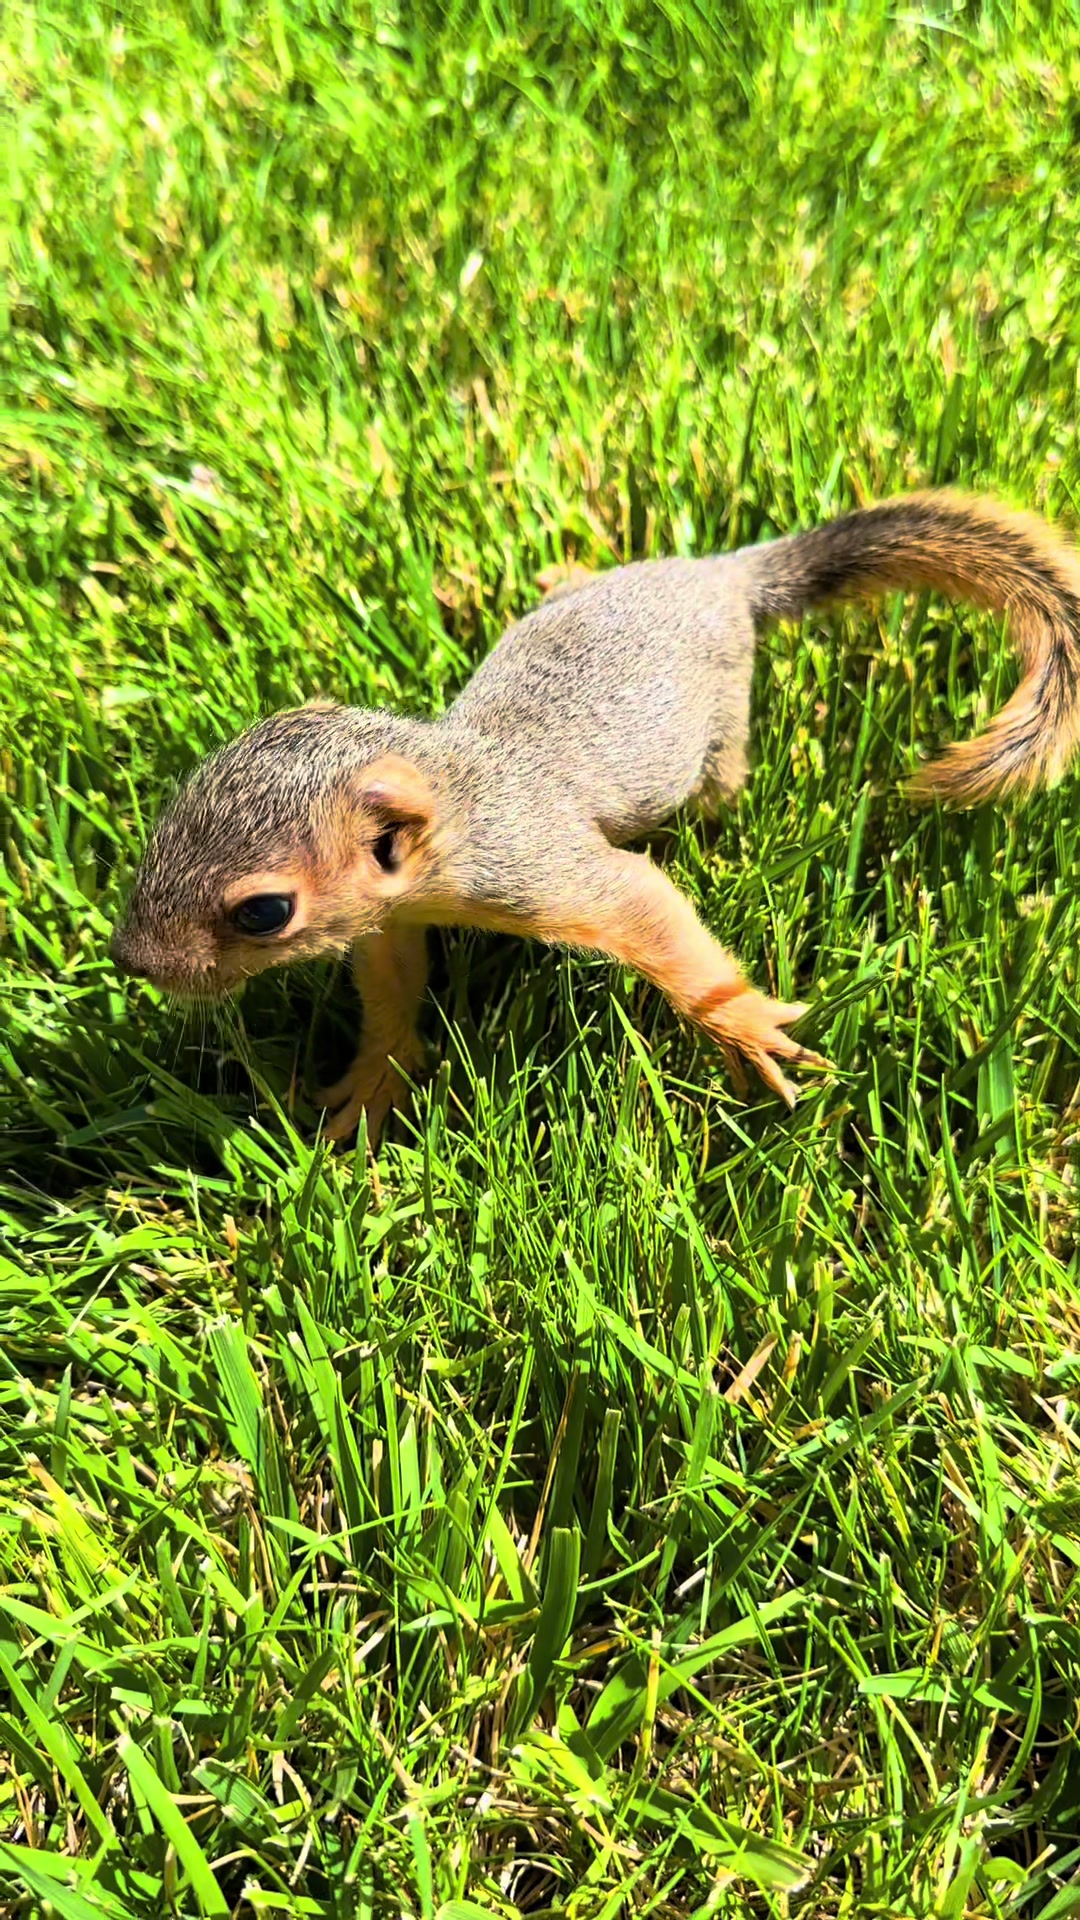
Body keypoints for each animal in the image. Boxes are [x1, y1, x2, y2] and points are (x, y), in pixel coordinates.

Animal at [112, 492, 1080, 1142]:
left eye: (264, 913)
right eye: (169, 813)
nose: (131, 961)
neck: (461, 797)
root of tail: (721, 577)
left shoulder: (543, 868)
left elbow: (647, 914)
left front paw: (742, 1022)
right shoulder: (393, 919)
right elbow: (391, 987)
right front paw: (372, 1082)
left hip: (723, 720)